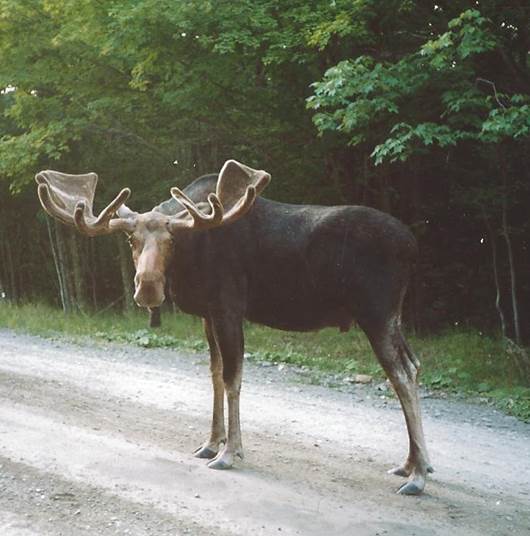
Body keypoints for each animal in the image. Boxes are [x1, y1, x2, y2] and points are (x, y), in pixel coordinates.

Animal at [37, 159, 434, 494]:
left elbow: (232, 377)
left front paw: (229, 453)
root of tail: (414, 246)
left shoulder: (228, 307)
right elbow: (214, 374)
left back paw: (416, 476)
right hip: (393, 316)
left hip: (375, 310)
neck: (191, 256)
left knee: (400, 373)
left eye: (171, 240)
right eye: (132, 239)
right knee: (414, 365)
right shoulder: (208, 313)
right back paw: (415, 463)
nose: (147, 286)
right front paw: (210, 443)